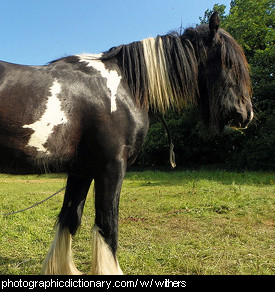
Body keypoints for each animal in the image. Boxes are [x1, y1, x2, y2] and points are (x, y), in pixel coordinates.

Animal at [0, 12, 254, 276]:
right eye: (229, 63)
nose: (247, 113)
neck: (124, 89)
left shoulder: (81, 170)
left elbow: (70, 218)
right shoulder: (111, 167)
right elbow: (107, 226)